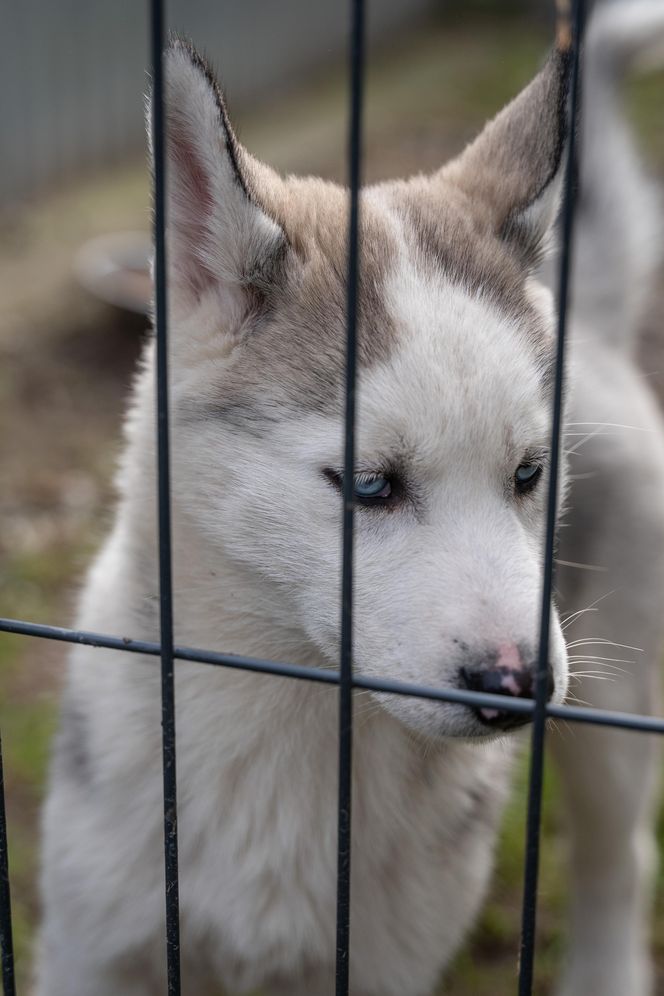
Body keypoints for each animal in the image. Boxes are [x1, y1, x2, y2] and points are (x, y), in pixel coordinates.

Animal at [37, 1, 664, 996]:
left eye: (529, 473)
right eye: (370, 484)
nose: (520, 688)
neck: (292, 719)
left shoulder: (382, 962)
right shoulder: (94, 943)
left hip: (616, 706)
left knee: (619, 858)